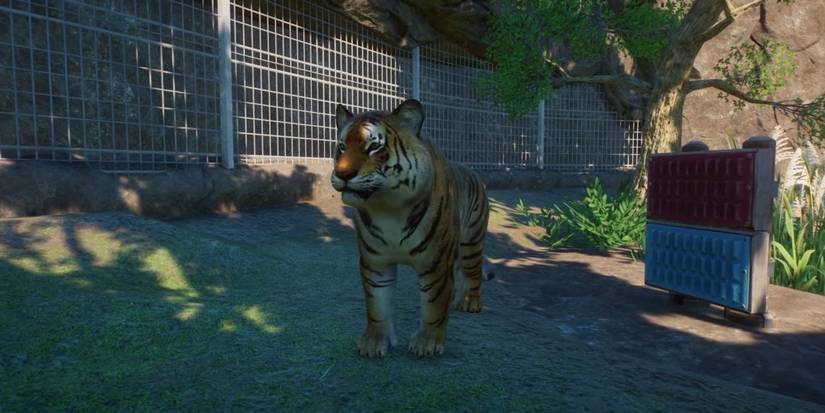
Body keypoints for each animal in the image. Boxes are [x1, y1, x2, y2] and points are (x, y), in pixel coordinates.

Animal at [329, 99, 492, 358]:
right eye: (342, 146)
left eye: (373, 147)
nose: (342, 174)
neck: (387, 208)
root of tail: (473, 171)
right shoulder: (376, 264)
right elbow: (377, 306)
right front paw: (374, 343)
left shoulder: (435, 265)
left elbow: (433, 307)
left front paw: (427, 344)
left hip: (471, 242)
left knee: (473, 273)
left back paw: (470, 302)